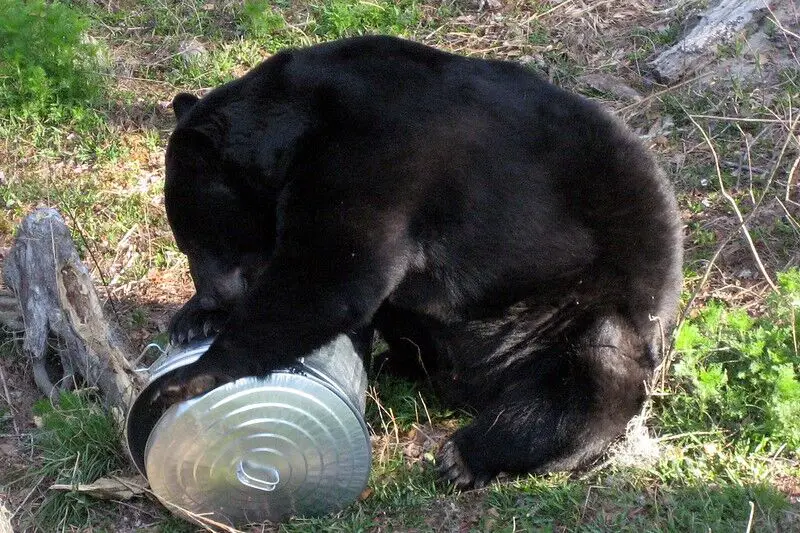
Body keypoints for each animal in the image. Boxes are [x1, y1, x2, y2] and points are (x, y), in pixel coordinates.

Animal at [158, 35, 680, 488]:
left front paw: (189, 375)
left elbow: (332, 273)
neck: (299, 120)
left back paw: (467, 455)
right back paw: (401, 365)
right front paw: (190, 320)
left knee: (593, 377)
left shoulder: (376, 156)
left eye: (194, 239)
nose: (213, 292)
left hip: (579, 306)